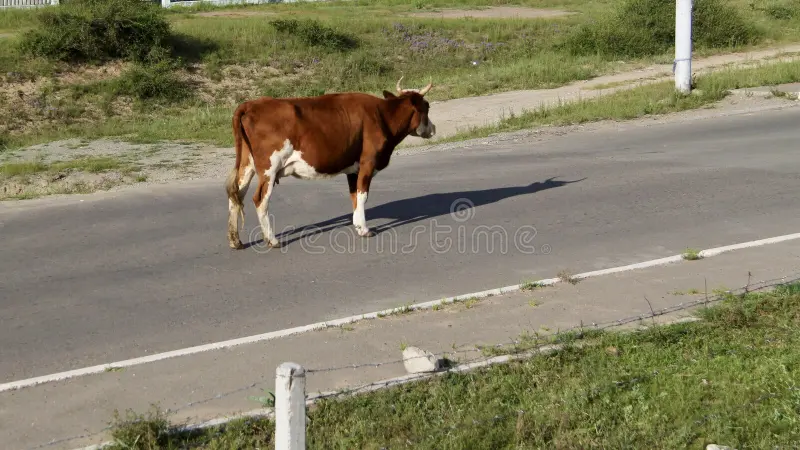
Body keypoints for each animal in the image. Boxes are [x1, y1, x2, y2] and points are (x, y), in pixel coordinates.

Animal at [225, 77, 438, 250]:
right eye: (427, 106)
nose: (433, 128)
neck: (382, 116)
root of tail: (252, 104)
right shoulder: (368, 162)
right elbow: (363, 195)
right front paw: (364, 229)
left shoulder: (353, 168)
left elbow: (355, 196)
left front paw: (357, 225)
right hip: (269, 168)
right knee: (260, 199)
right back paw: (272, 240)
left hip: (246, 165)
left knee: (236, 196)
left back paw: (236, 241)